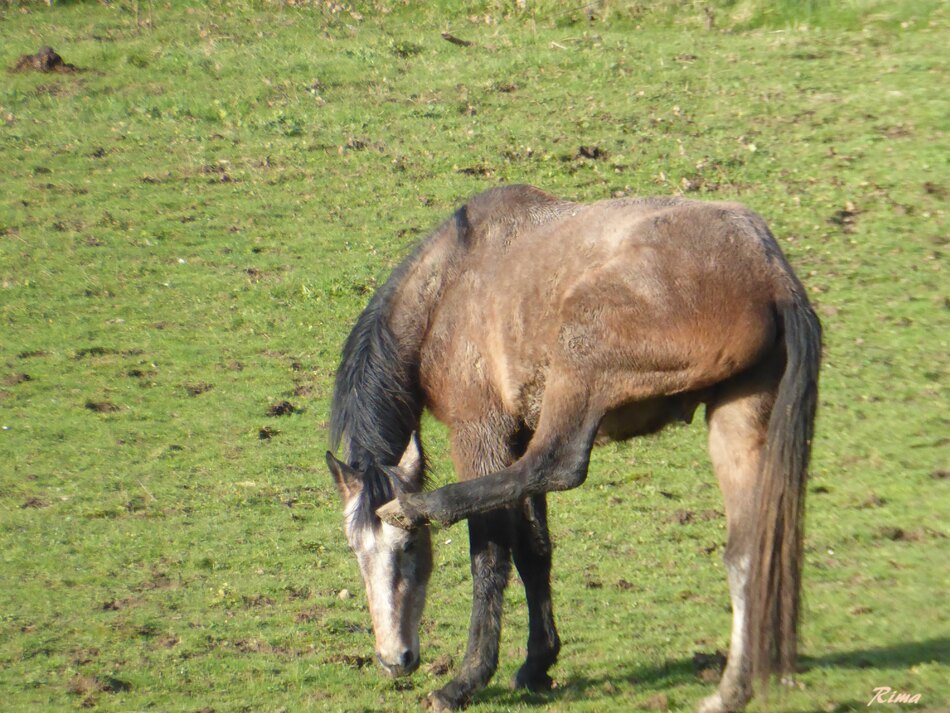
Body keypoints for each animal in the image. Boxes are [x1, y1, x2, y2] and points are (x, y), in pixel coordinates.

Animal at [326, 185, 820, 712]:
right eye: (356, 551)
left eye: (411, 548)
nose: (393, 660)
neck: (448, 288)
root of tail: (770, 273)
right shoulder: (519, 433)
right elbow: (534, 551)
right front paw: (537, 663)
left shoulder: (480, 432)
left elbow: (490, 556)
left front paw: (467, 678)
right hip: (738, 419)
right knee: (746, 554)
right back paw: (731, 690)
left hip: (580, 360)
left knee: (559, 463)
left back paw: (417, 506)